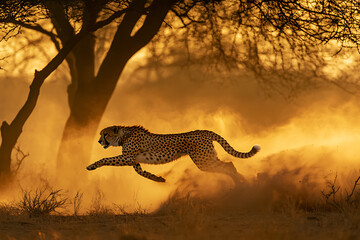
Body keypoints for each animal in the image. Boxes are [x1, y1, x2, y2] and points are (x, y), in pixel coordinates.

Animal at [88, 124, 262, 183]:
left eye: (105, 134)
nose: (99, 142)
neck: (124, 135)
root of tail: (204, 131)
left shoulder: (127, 157)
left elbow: (106, 158)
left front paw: (91, 166)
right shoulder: (134, 161)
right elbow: (141, 173)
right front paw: (158, 179)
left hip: (204, 161)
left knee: (229, 165)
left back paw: (240, 184)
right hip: (208, 157)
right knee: (228, 165)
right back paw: (241, 183)